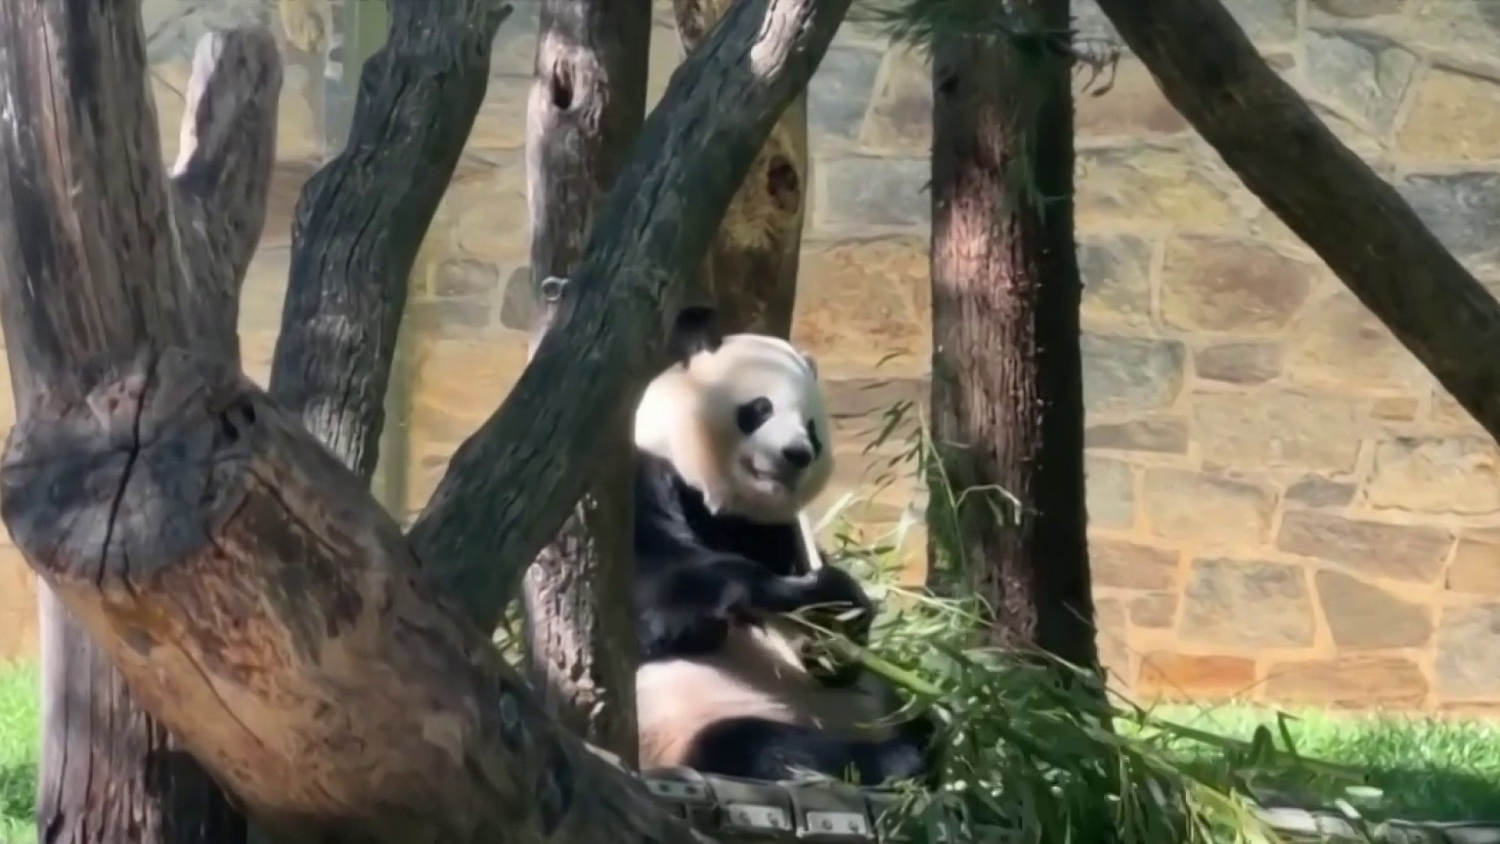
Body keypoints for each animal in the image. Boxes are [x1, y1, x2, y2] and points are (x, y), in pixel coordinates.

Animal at [631, 306, 937, 786]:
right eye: (760, 408)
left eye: (811, 428)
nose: (797, 454)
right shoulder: (640, 481)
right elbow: (656, 598)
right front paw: (813, 594)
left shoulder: (778, 533)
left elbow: (840, 663)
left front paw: (839, 623)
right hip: (683, 720)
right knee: (757, 746)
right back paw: (897, 759)